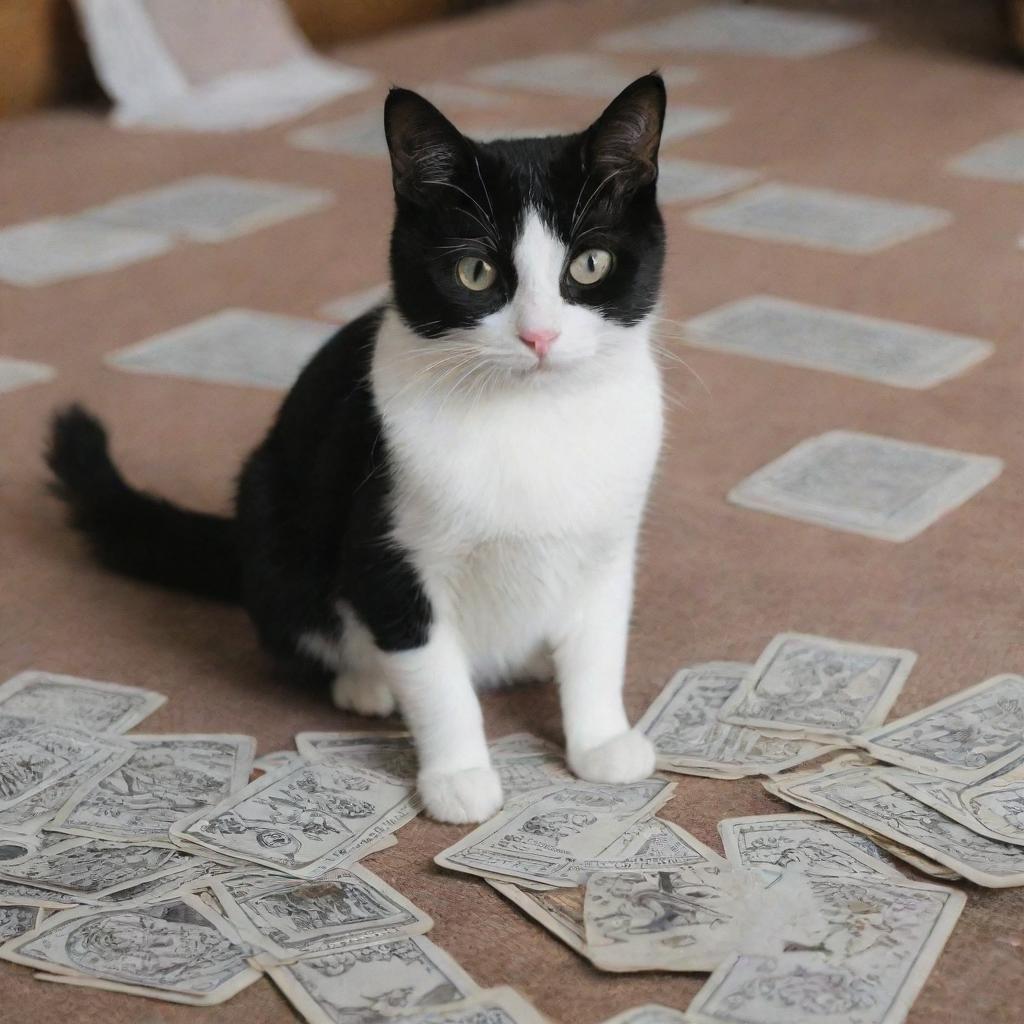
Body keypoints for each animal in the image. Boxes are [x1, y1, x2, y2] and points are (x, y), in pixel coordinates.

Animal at [48, 72, 671, 823]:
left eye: (590, 263)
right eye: (475, 273)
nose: (540, 337)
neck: (532, 417)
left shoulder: (609, 540)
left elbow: (599, 646)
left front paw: (601, 740)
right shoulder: (385, 547)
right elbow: (434, 674)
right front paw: (459, 775)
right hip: (272, 513)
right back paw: (365, 683)